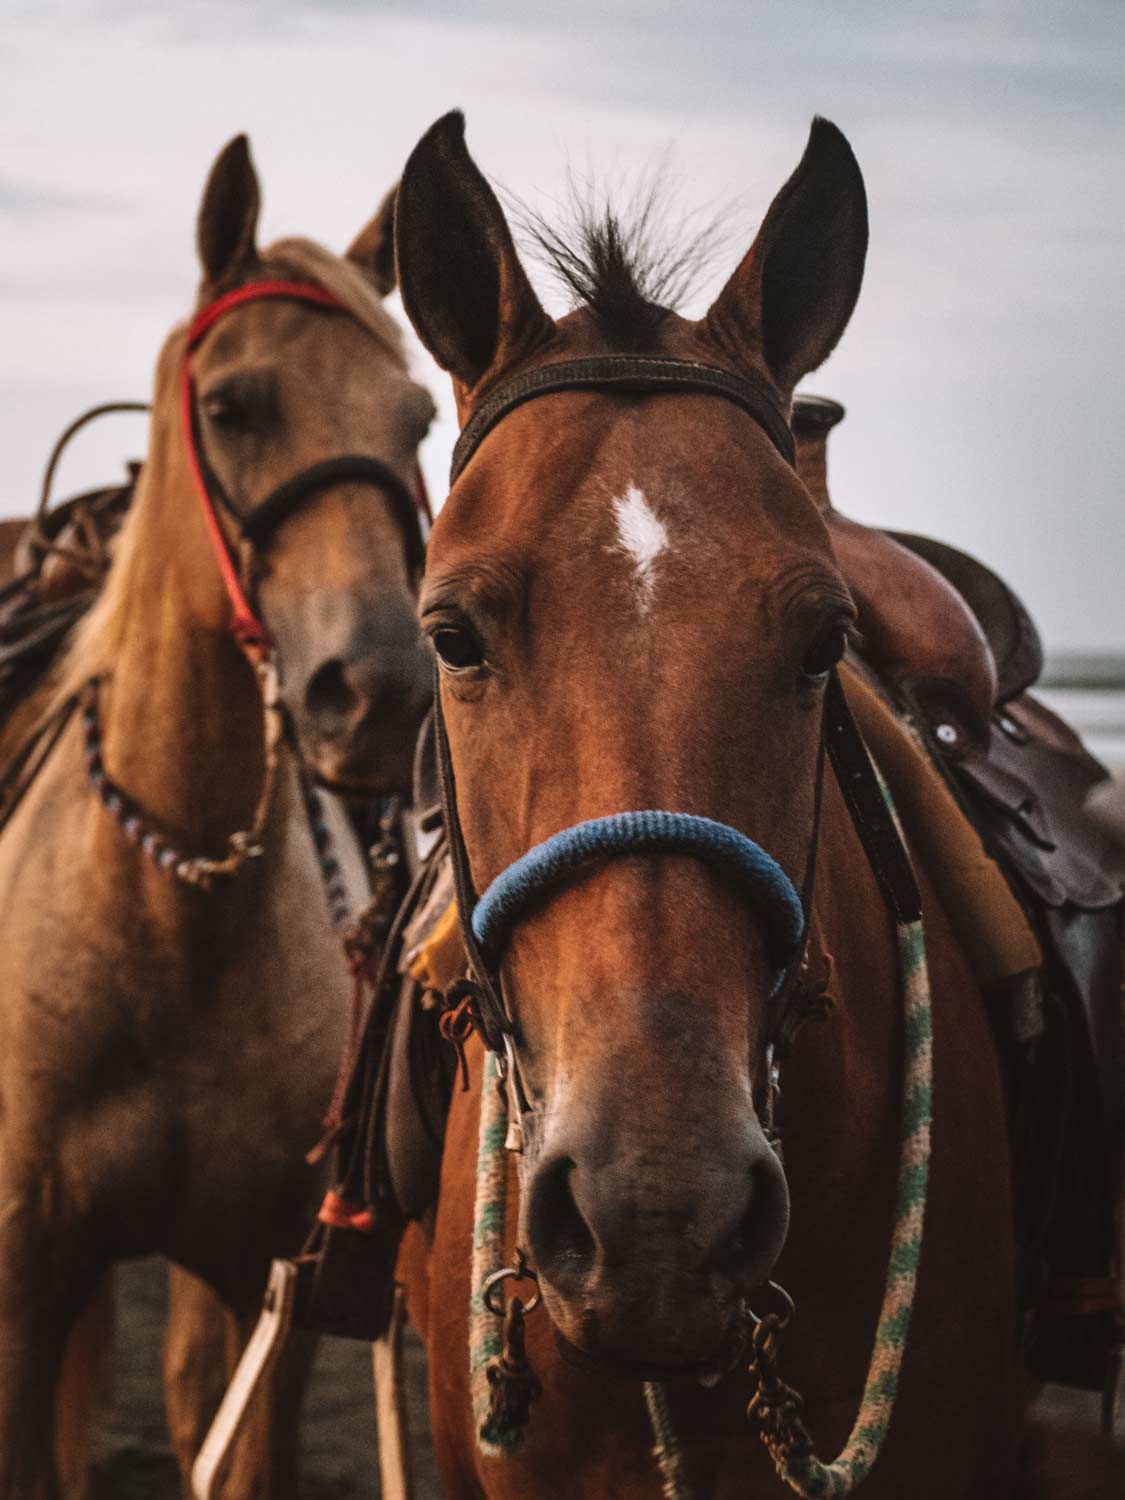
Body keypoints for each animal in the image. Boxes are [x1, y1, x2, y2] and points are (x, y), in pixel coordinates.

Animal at [0, 134, 434, 1499]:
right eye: (235, 405)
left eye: (418, 419)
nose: (382, 690)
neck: (168, 906)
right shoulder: (27, 1281)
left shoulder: (262, 1288)